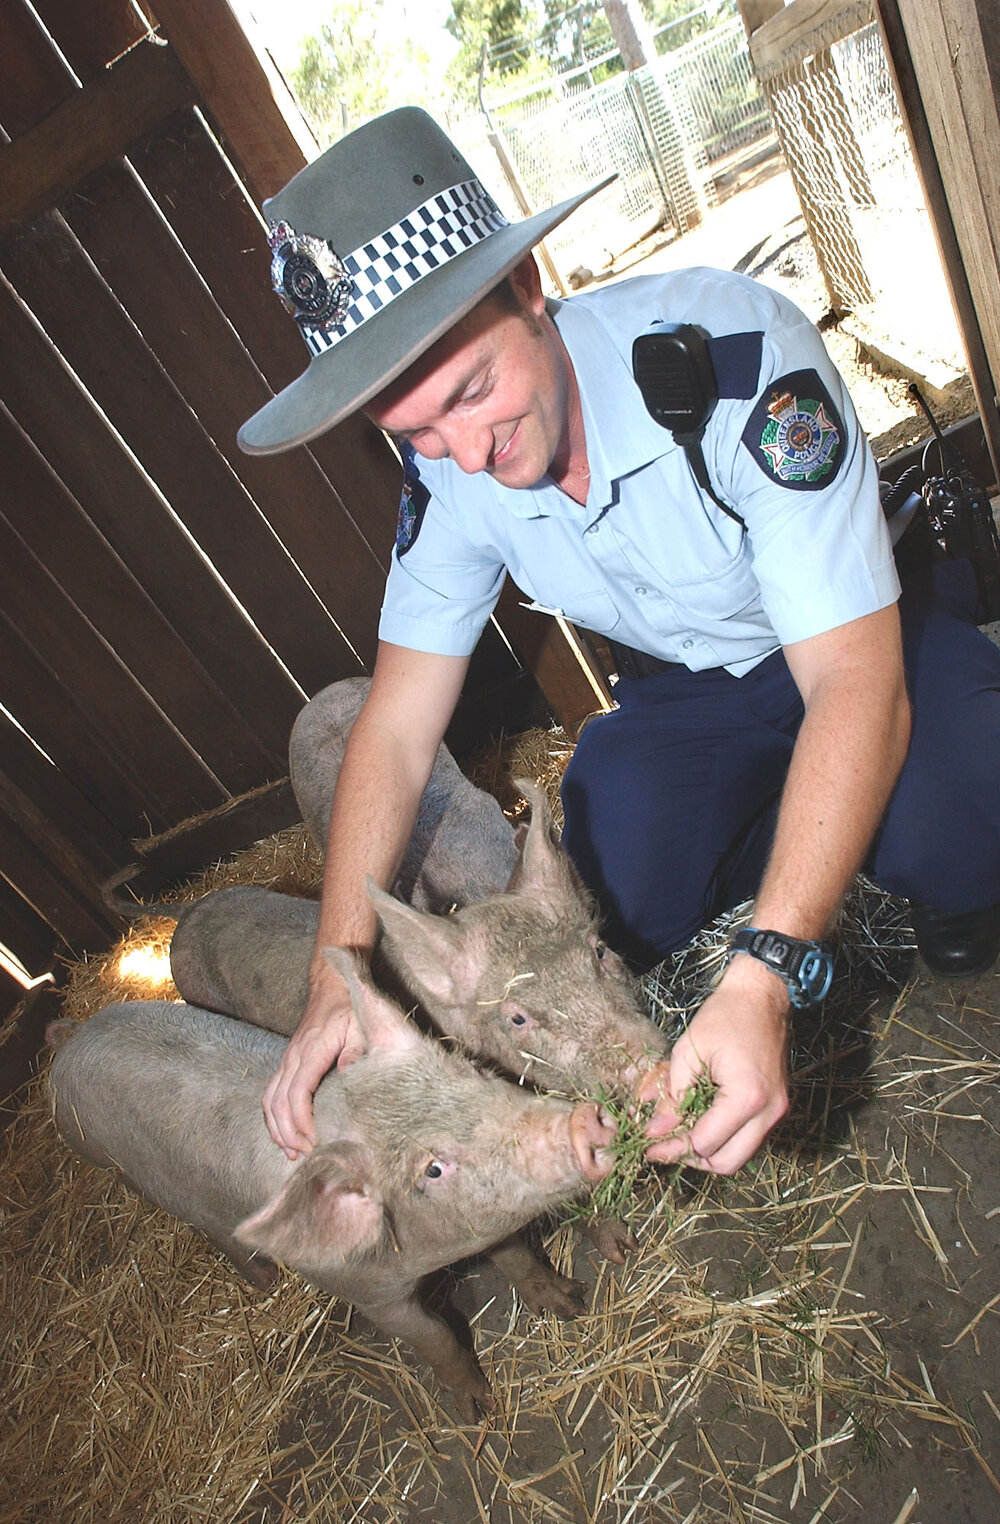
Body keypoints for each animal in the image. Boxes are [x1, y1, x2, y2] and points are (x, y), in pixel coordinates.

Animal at [47, 950, 616, 1419]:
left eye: (473, 1074)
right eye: (431, 1169)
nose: (583, 1122)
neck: (431, 1253)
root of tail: (73, 1037)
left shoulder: (483, 1222)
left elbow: (517, 1255)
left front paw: (572, 1302)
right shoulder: (369, 1293)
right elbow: (433, 1335)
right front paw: (478, 1410)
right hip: (120, 1167)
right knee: (207, 1226)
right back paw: (264, 1280)